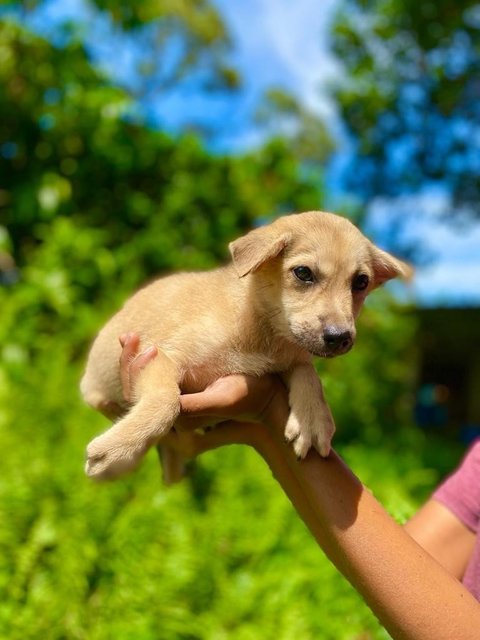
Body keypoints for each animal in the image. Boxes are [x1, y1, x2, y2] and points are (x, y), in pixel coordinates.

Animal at [80, 210, 410, 480]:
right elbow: (166, 400)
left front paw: (312, 420)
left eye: (361, 282)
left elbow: (307, 371)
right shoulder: (160, 354)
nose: (340, 337)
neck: (262, 333)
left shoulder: (286, 359)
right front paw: (117, 450)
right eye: (303, 273)